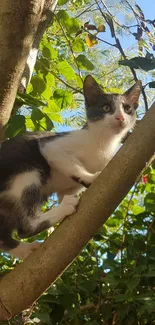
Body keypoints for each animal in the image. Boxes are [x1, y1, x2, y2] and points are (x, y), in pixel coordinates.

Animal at [0, 75, 142, 258]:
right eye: (106, 108)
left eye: (127, 109)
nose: (120, 118)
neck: (103, 143)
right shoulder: (50, 146)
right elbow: (71, 164)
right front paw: (90, 177)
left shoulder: (69, 187)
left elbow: (68, 188)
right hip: (26, 170)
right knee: (24, 227)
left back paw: (24, 249)